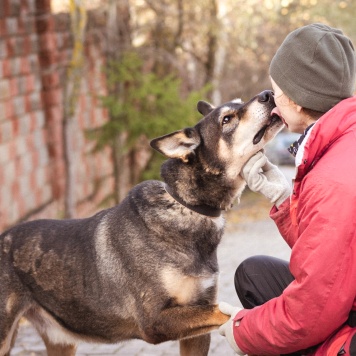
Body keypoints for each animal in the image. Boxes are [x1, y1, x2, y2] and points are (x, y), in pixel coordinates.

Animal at [0, 89, 284, 356]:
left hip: (61, 342)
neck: (187, 206)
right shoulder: (155, 320)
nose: (268, 94)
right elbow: (225, 312)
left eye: (239, 103)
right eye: (227, 119)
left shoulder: (196, 333)